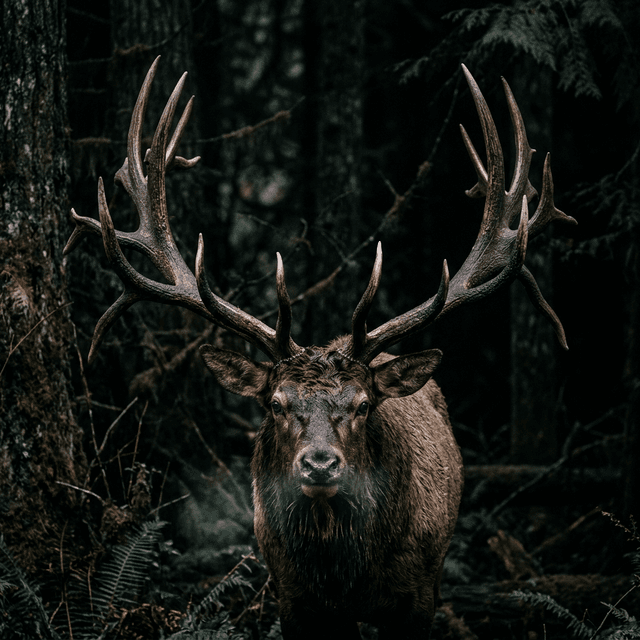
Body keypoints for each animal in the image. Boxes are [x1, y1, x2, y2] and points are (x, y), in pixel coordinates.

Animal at [65, 57, 576, 639]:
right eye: (276, 403)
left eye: (362, 404)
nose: (320, 465)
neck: (343, 573)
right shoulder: (293, 597)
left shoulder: (418, 595)